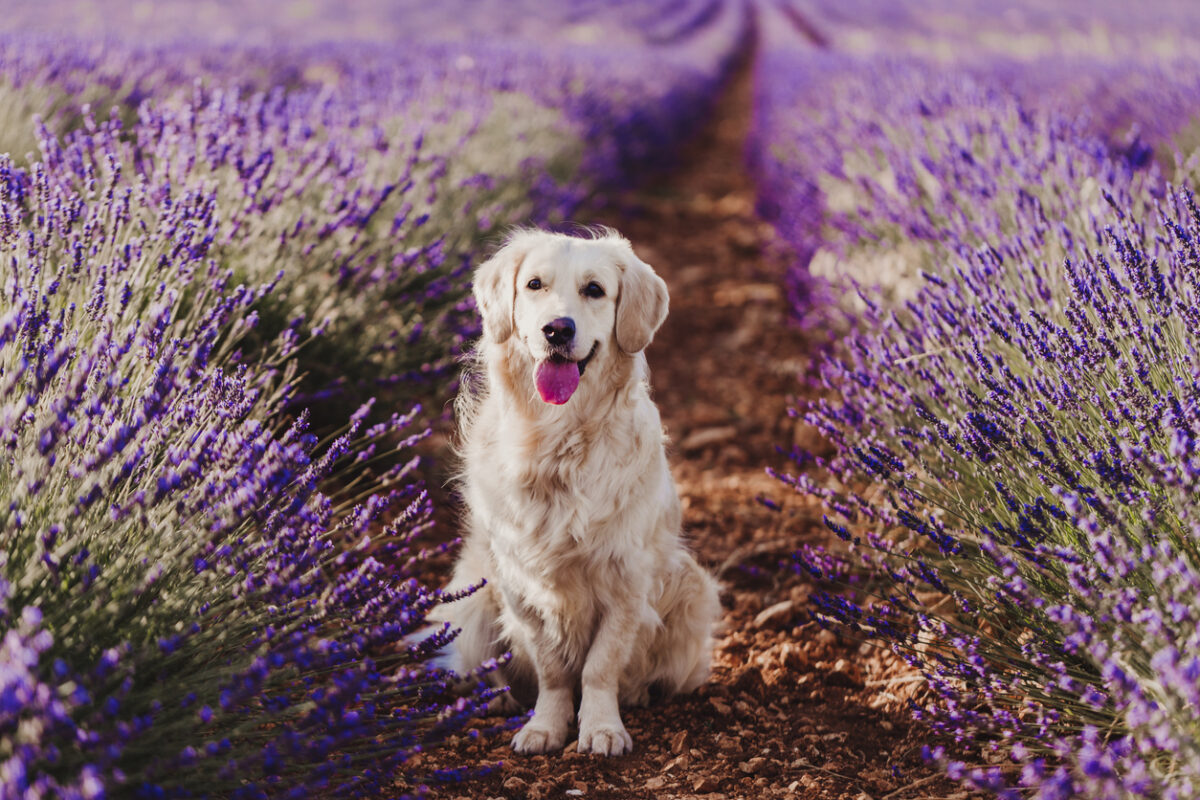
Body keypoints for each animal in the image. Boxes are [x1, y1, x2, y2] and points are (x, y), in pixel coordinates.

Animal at [441, 226, 720, 758]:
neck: (558, 443)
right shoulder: (520, 583)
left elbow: (599, 666)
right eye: (534, 284)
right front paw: (545, 726)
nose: (557, 330)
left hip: (691, 585)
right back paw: (491, 698)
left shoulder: (626, 580)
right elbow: (552, 668)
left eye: (594, 290)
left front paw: (602, 728)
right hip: (470, 599)